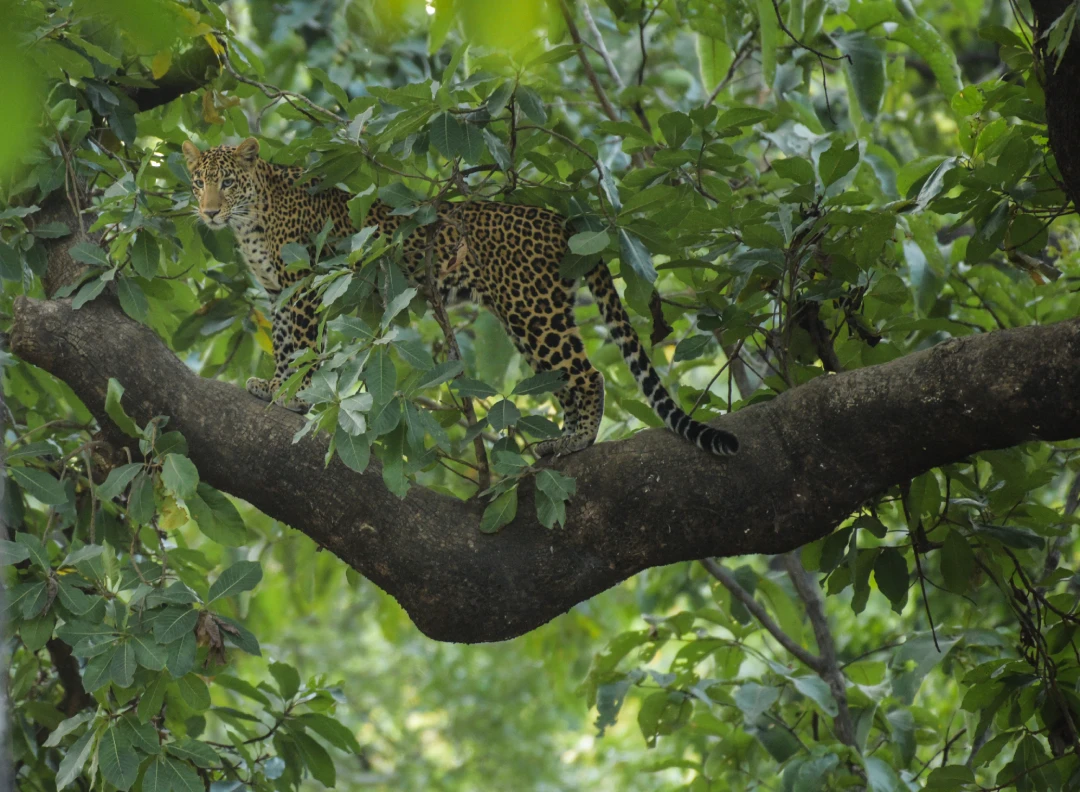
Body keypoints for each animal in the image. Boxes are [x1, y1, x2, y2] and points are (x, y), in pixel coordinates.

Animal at [182, 137, 738, 458]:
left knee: (588, 375)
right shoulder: (279, 292)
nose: (207, 212)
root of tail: (561, 221)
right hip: (530, 315)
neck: (248, 220)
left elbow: (299, 346)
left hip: (532, 310)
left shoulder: (303, 286)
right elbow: (284, 343)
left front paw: (291, 394)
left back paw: (575, 442)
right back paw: (563, 438)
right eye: (197, 183)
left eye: (227, 183)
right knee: (566, 378)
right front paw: (276, 384)